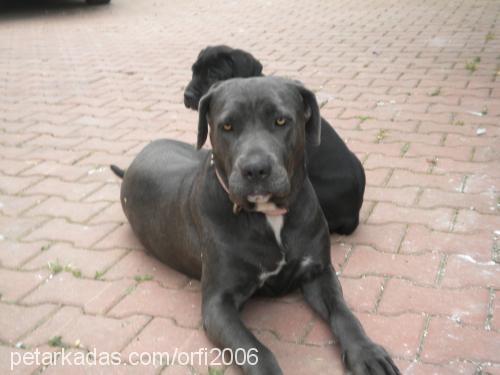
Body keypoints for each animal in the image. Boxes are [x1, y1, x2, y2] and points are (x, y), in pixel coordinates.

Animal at [111, 76, 400, 375]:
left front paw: (366, 352)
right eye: (227, 126)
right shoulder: (218, 303)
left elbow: (343, 313)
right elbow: (255, 350)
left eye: (281, 121)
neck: (268, 216)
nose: (255, 169)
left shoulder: (318, 272)